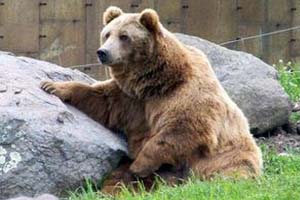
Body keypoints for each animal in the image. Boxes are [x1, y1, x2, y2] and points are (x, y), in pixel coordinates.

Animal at [40, 5, 262, 194]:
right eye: (107, 34)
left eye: (124, 36)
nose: (103, 52)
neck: (156, 82)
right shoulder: (132, 99)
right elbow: (102, 101)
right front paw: (53, 86)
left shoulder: (185, 94)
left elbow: (182, 128)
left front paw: (139, 164)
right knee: (118, 177)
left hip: (226, 156)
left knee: (229, 173)